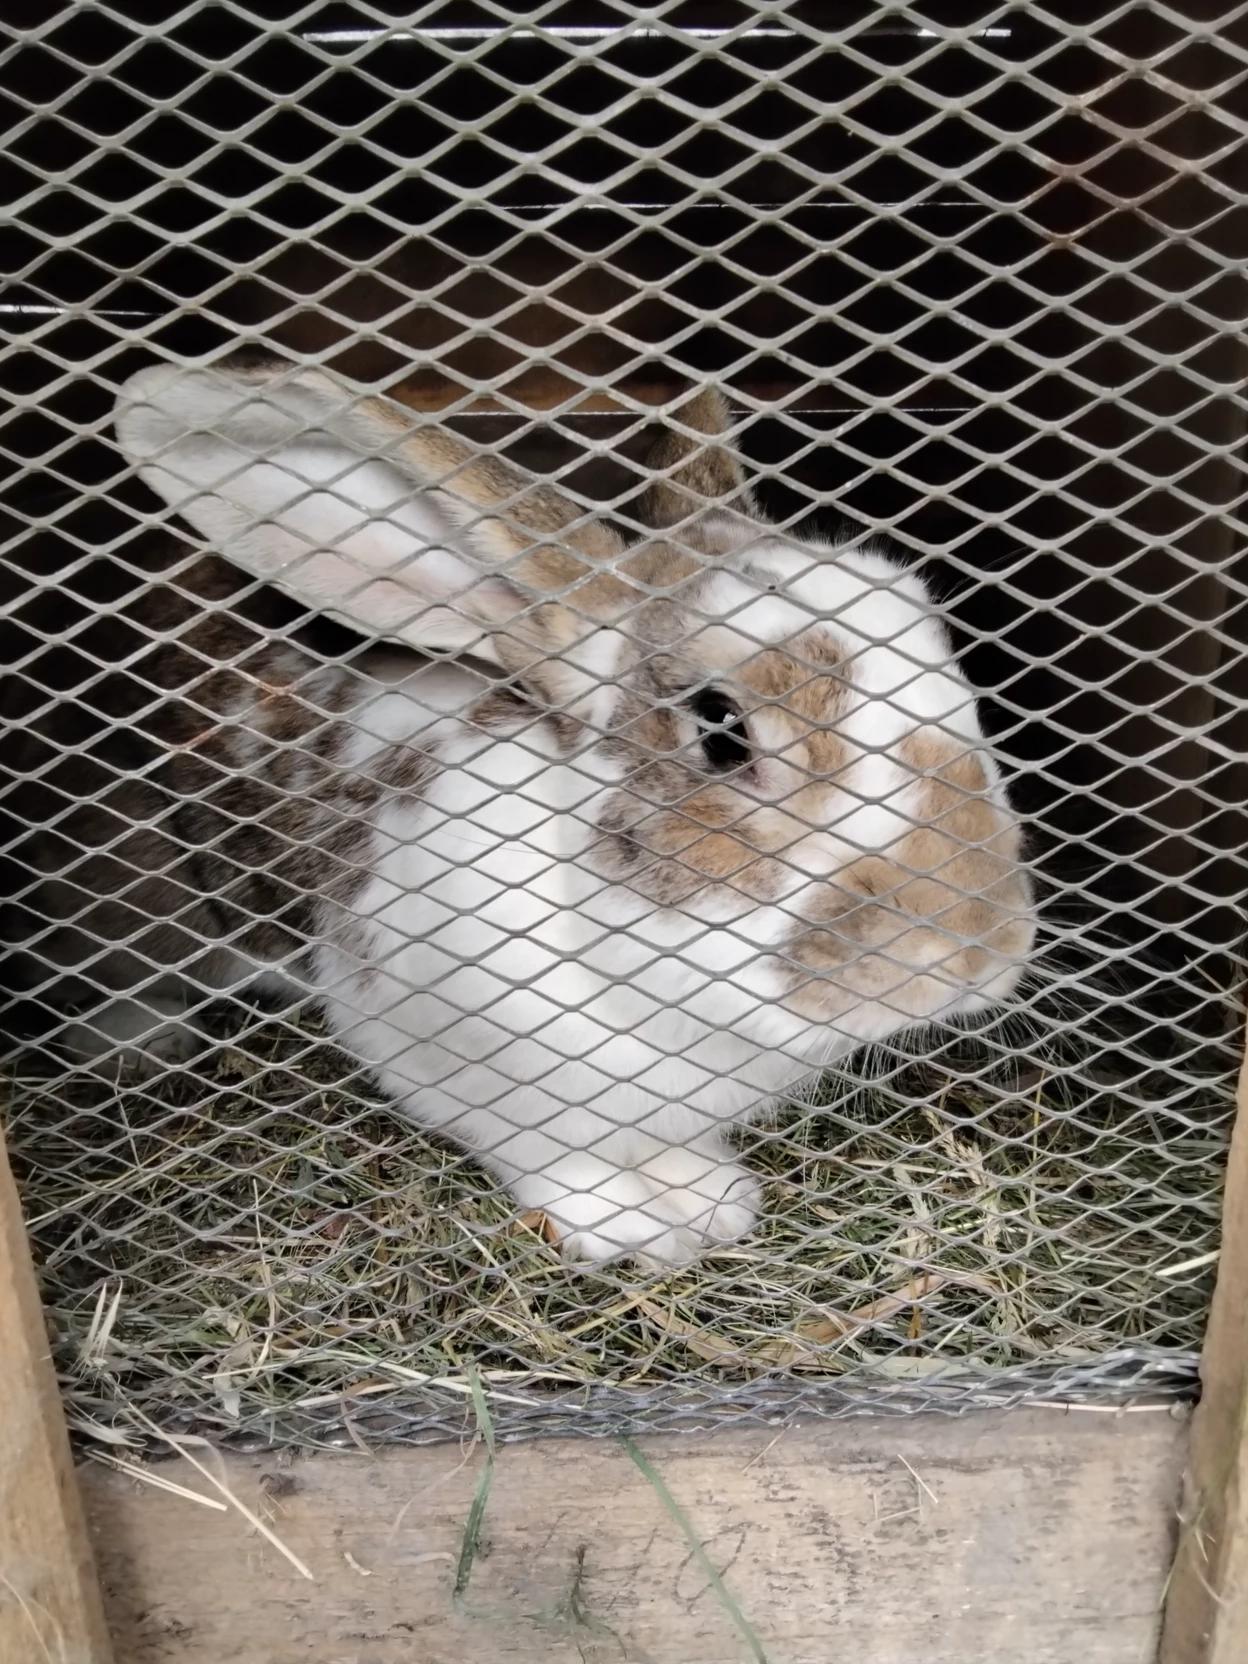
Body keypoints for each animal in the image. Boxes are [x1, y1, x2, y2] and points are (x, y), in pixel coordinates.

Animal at [0, 357, 1035, 1264]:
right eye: (721, 732)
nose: (976, 954)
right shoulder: (455, 1062)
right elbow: (556, 1164)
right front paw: (632, 1237)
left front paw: (714, 1208)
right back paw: (136, 1042)